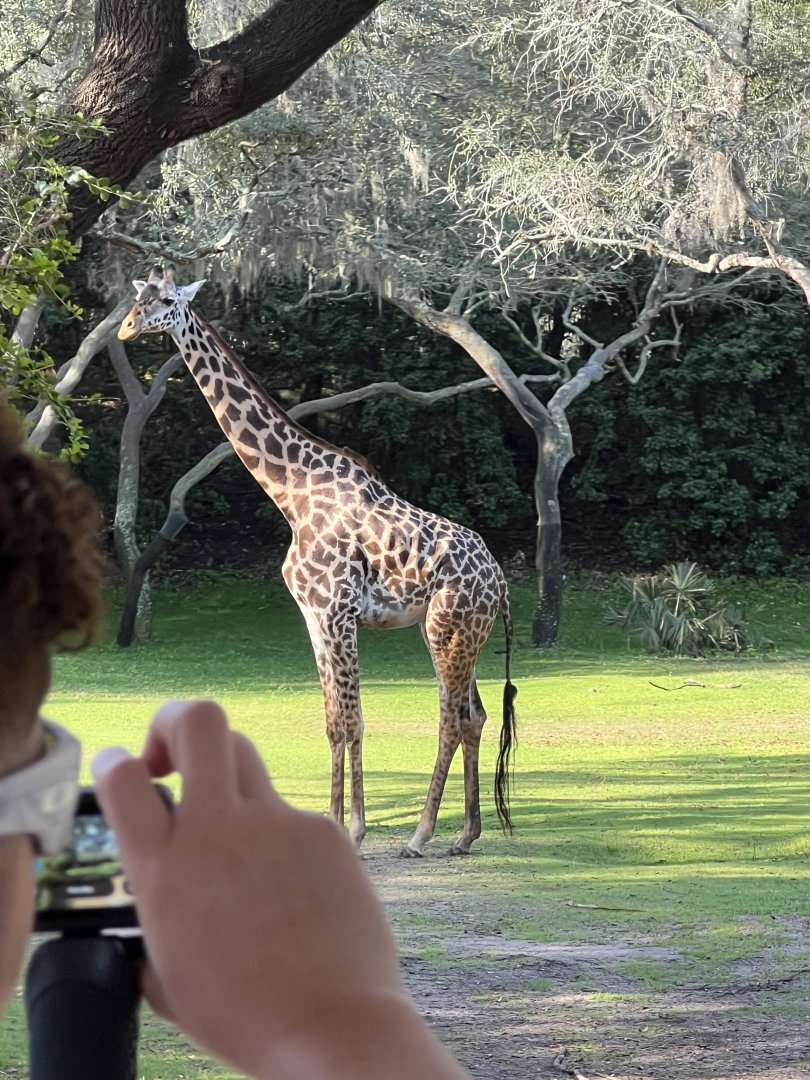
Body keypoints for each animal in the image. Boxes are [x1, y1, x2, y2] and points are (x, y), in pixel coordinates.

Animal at [118, 265, 517, 857]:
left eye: (165, 299)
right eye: (136, 298)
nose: (125, 329)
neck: (293, 493)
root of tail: (502, 582)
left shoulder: (336, 611)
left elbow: (351, 720)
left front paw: (353, 829)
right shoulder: (313, 615)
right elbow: (333, 720)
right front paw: (336, 821)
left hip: (446, 628)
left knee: (451, 718)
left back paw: (421, 835)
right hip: (462, 633)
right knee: (476, 715)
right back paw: (465, 834)